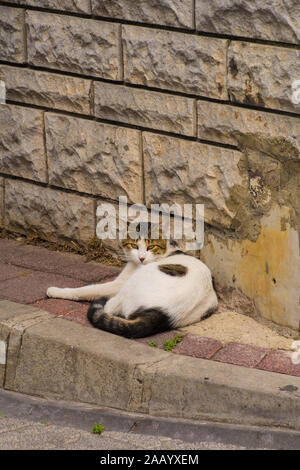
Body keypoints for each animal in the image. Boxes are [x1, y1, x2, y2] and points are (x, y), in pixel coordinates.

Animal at [46, 226, 218, 336]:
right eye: (134, 246)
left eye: (150, 247)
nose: (141, 258)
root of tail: (162, 314)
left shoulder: (119, 283)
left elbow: (87, 289)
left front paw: (57, 291)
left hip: (128, 288)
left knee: (108, 306)